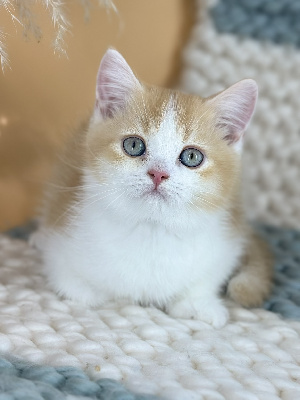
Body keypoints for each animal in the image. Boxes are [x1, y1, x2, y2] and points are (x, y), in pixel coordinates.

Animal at [34, 49, 274, 328]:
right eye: (134, 145)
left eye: (192, 156)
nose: (158, 174)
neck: (152, 230)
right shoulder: (61, 239)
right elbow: (77, 287)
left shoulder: (225, 243)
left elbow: (205, 279)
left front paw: (198, 303)